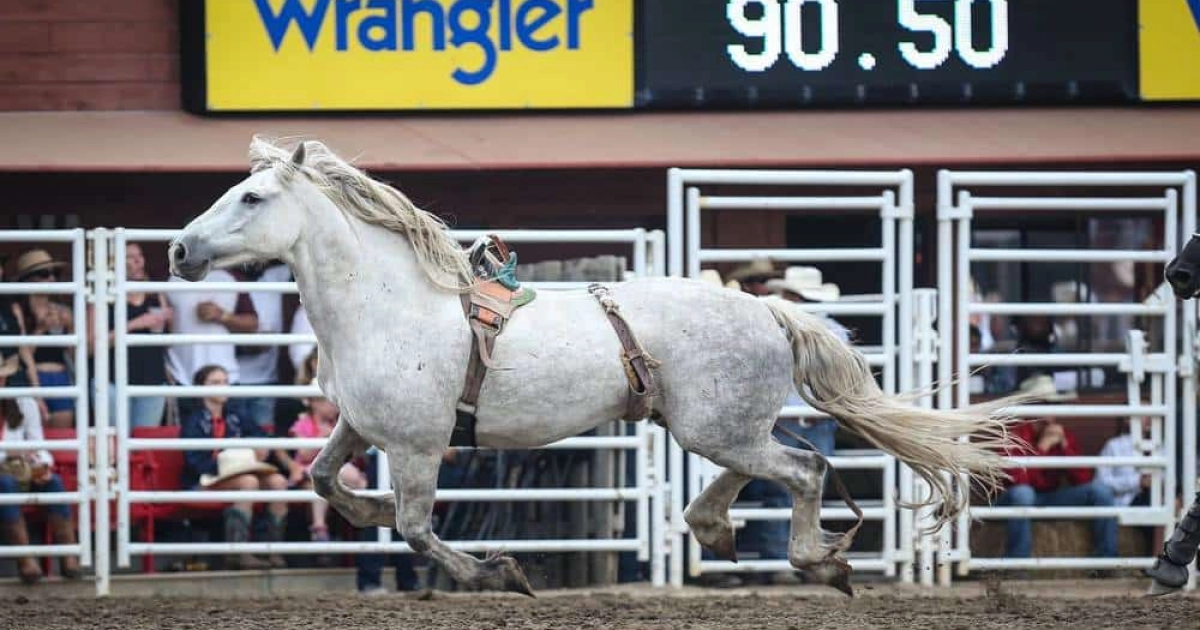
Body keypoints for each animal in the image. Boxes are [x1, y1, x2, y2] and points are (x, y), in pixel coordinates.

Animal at [167, 137, 1023, 596]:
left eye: (249, 198)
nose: (178, 249)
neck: (390, 304)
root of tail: (767, 310)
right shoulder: (360, 427)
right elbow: (324, 481)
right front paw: (370, 511)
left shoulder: (416, 446)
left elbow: (416, 530)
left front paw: (498, 574)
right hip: (714, 425)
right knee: (770, 469)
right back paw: (714, 526)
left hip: (719, 427)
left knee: (804, 471)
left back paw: (816, 560)